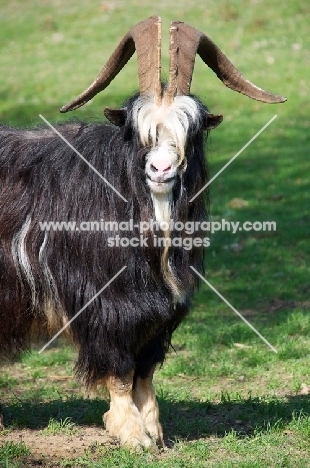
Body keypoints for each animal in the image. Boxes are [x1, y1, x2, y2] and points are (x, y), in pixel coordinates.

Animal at [0, 16, 286, 448]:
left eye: (192, 131)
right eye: (139, 132)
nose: (161, 170)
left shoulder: (160, 311)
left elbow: (145, 372)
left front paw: (155, 430)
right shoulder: (106, 304)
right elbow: (119, 371)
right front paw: (133, 435)